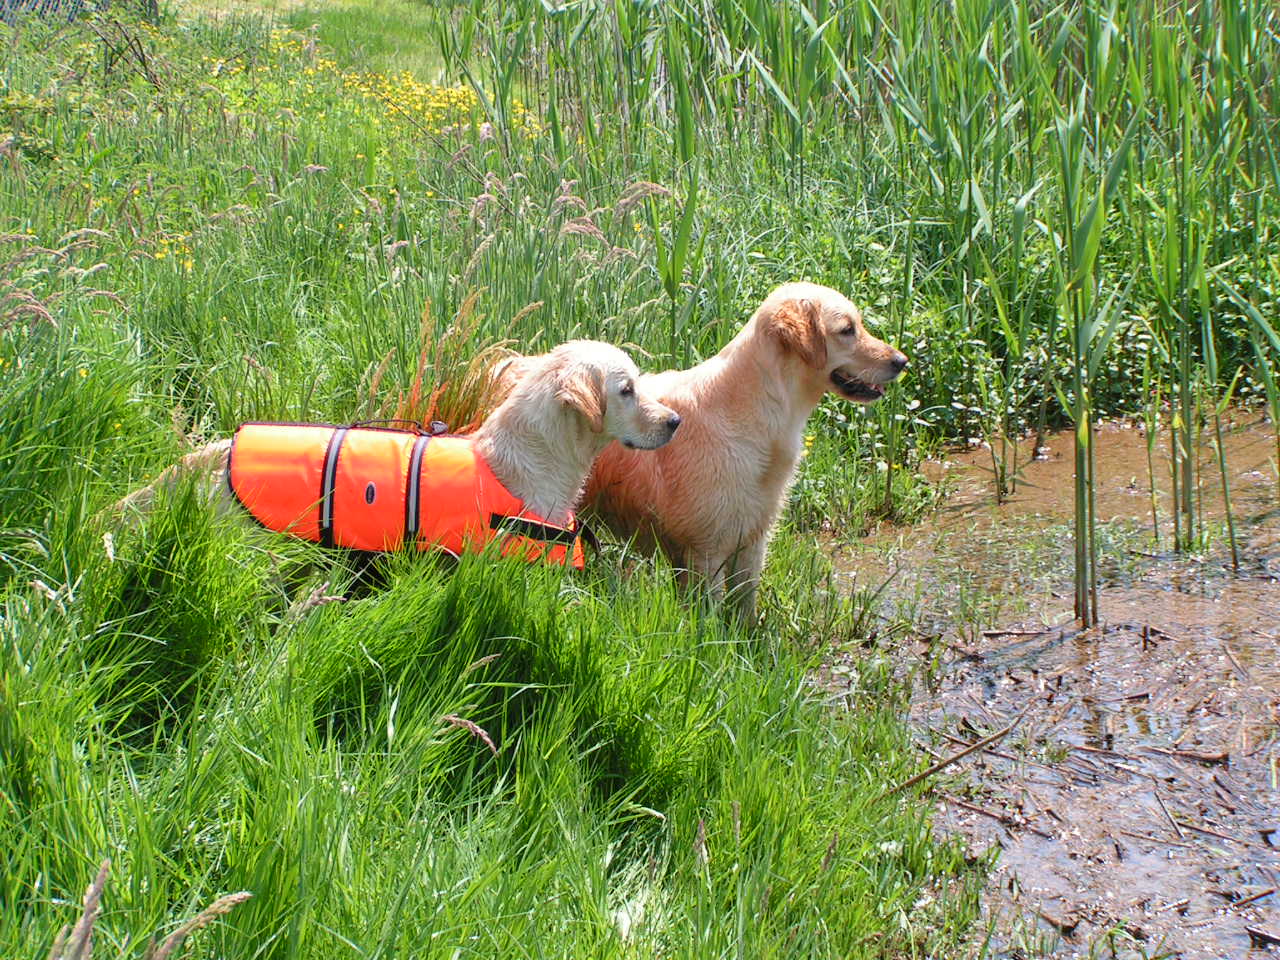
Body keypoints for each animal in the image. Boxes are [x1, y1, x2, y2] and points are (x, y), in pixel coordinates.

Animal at [586, 281, 906, 619]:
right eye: (847, 329)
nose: (902, 361)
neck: (753, 408)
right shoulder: (706, 548)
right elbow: (710, 619)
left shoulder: (753, 540)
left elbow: (745, 608)